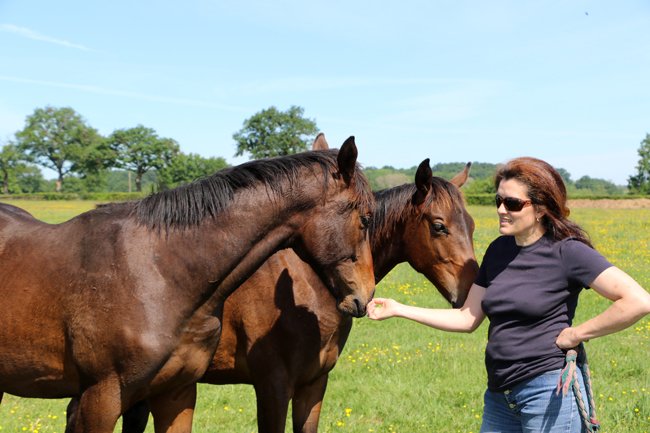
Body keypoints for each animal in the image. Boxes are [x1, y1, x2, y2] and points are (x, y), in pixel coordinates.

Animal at [94, 139, 478, 433]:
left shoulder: (313, 385)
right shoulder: (273, 388)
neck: (311, 286)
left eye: (472, 225)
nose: (469, 291)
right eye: (439, 225)